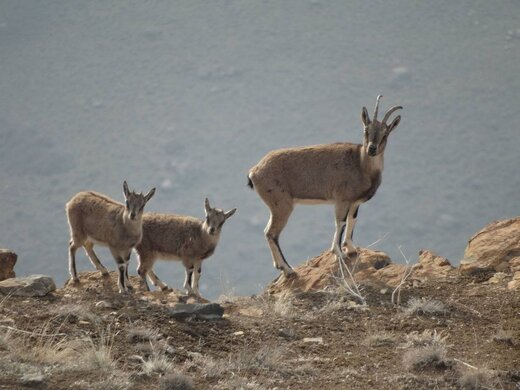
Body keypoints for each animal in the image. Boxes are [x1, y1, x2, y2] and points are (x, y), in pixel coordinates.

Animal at [248, 95, 402, 276]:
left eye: (385, 134)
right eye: (366, 131)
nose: (371, 148)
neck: (360, 164)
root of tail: (254, 171)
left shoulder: (354, 202)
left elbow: (352, 220)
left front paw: (351, 249)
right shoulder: (342, 200)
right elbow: (340, 223)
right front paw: (339, 254)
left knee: (268, 232)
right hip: (281, 205)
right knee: (272, 233)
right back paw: (288, 269)